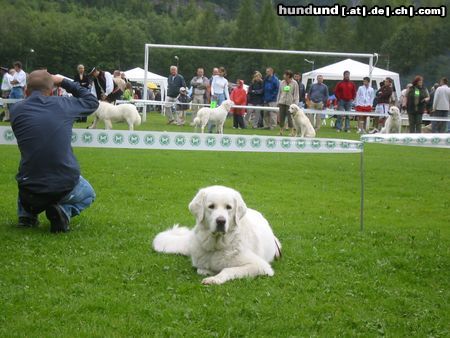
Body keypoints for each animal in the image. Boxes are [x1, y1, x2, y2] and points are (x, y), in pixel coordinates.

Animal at [154, 186, 282, 284]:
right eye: (211, 206)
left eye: (228, 207)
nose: (221, 221)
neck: (217, 245)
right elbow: (201, 269)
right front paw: (210, 272)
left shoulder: (260, 266)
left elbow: (228, 270)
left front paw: (214, 279)